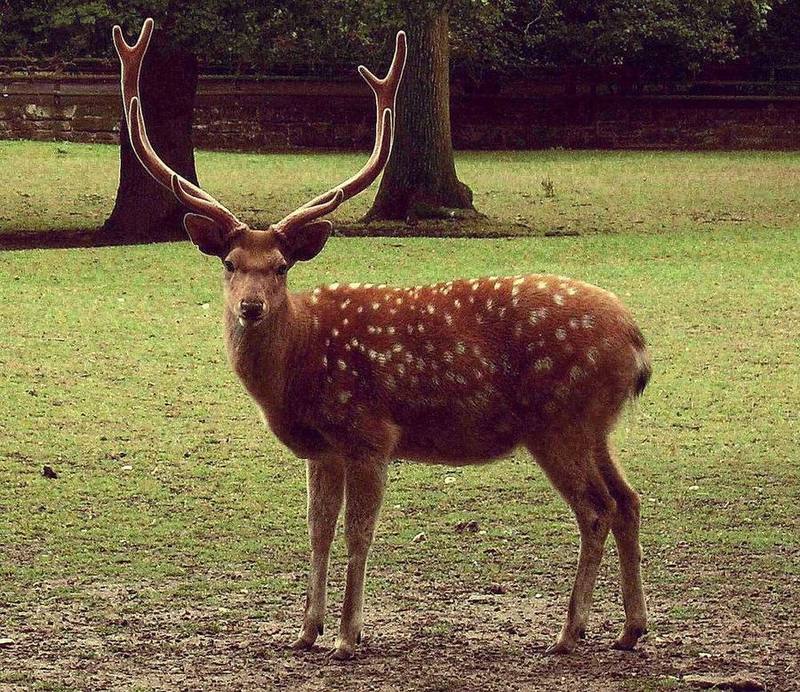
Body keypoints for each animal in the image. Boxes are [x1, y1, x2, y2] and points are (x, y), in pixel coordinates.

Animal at [113, 19, 651, 660]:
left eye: (281, 267)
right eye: (229, 263)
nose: (251, 307)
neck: (298, 368)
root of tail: (637, 342)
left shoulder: (371, 433)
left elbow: (358, 535)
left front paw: (348, 637)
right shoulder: (322, 448)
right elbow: (317, 533)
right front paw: (305, 631)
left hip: (559, 420)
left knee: (596, 510)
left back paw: (569, 633)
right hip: (596, 426)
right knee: (628, 500)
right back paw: (630, 629)